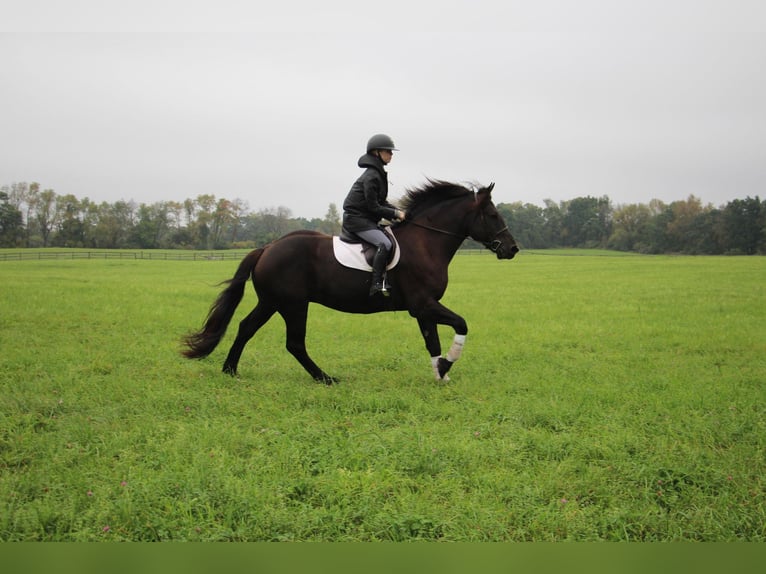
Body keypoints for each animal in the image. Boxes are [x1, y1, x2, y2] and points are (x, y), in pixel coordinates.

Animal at [184, 182, 520, 384]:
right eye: (492, 214)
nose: (512, 249)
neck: (426, 242)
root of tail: (267, 248)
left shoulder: (424, 308)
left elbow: (432, 341)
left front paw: (440, 373)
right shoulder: (424, 304)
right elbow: (461, 324)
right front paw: (447, 366)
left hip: (272, 302)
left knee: (246, 328)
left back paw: (230, 370)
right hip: (293, 304)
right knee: (294, 343)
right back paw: (325, 378)